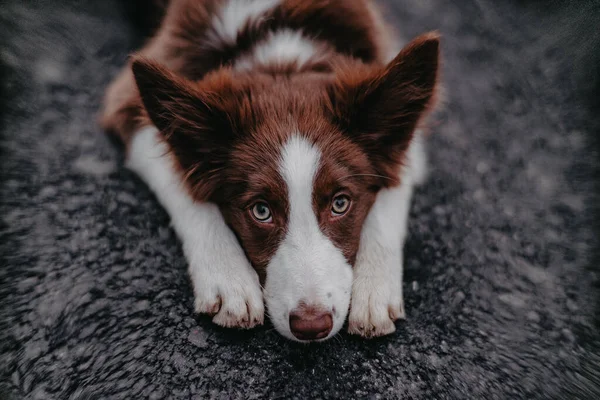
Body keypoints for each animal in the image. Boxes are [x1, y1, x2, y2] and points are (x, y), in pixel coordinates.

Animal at [101, 0, 440, 344]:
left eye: (340, 203)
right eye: (261, 210)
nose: (311, 326)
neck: (282, 54)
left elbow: (391, 193)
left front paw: (374, 288)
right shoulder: (130, 106)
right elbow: (186, 190)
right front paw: (229, 278)